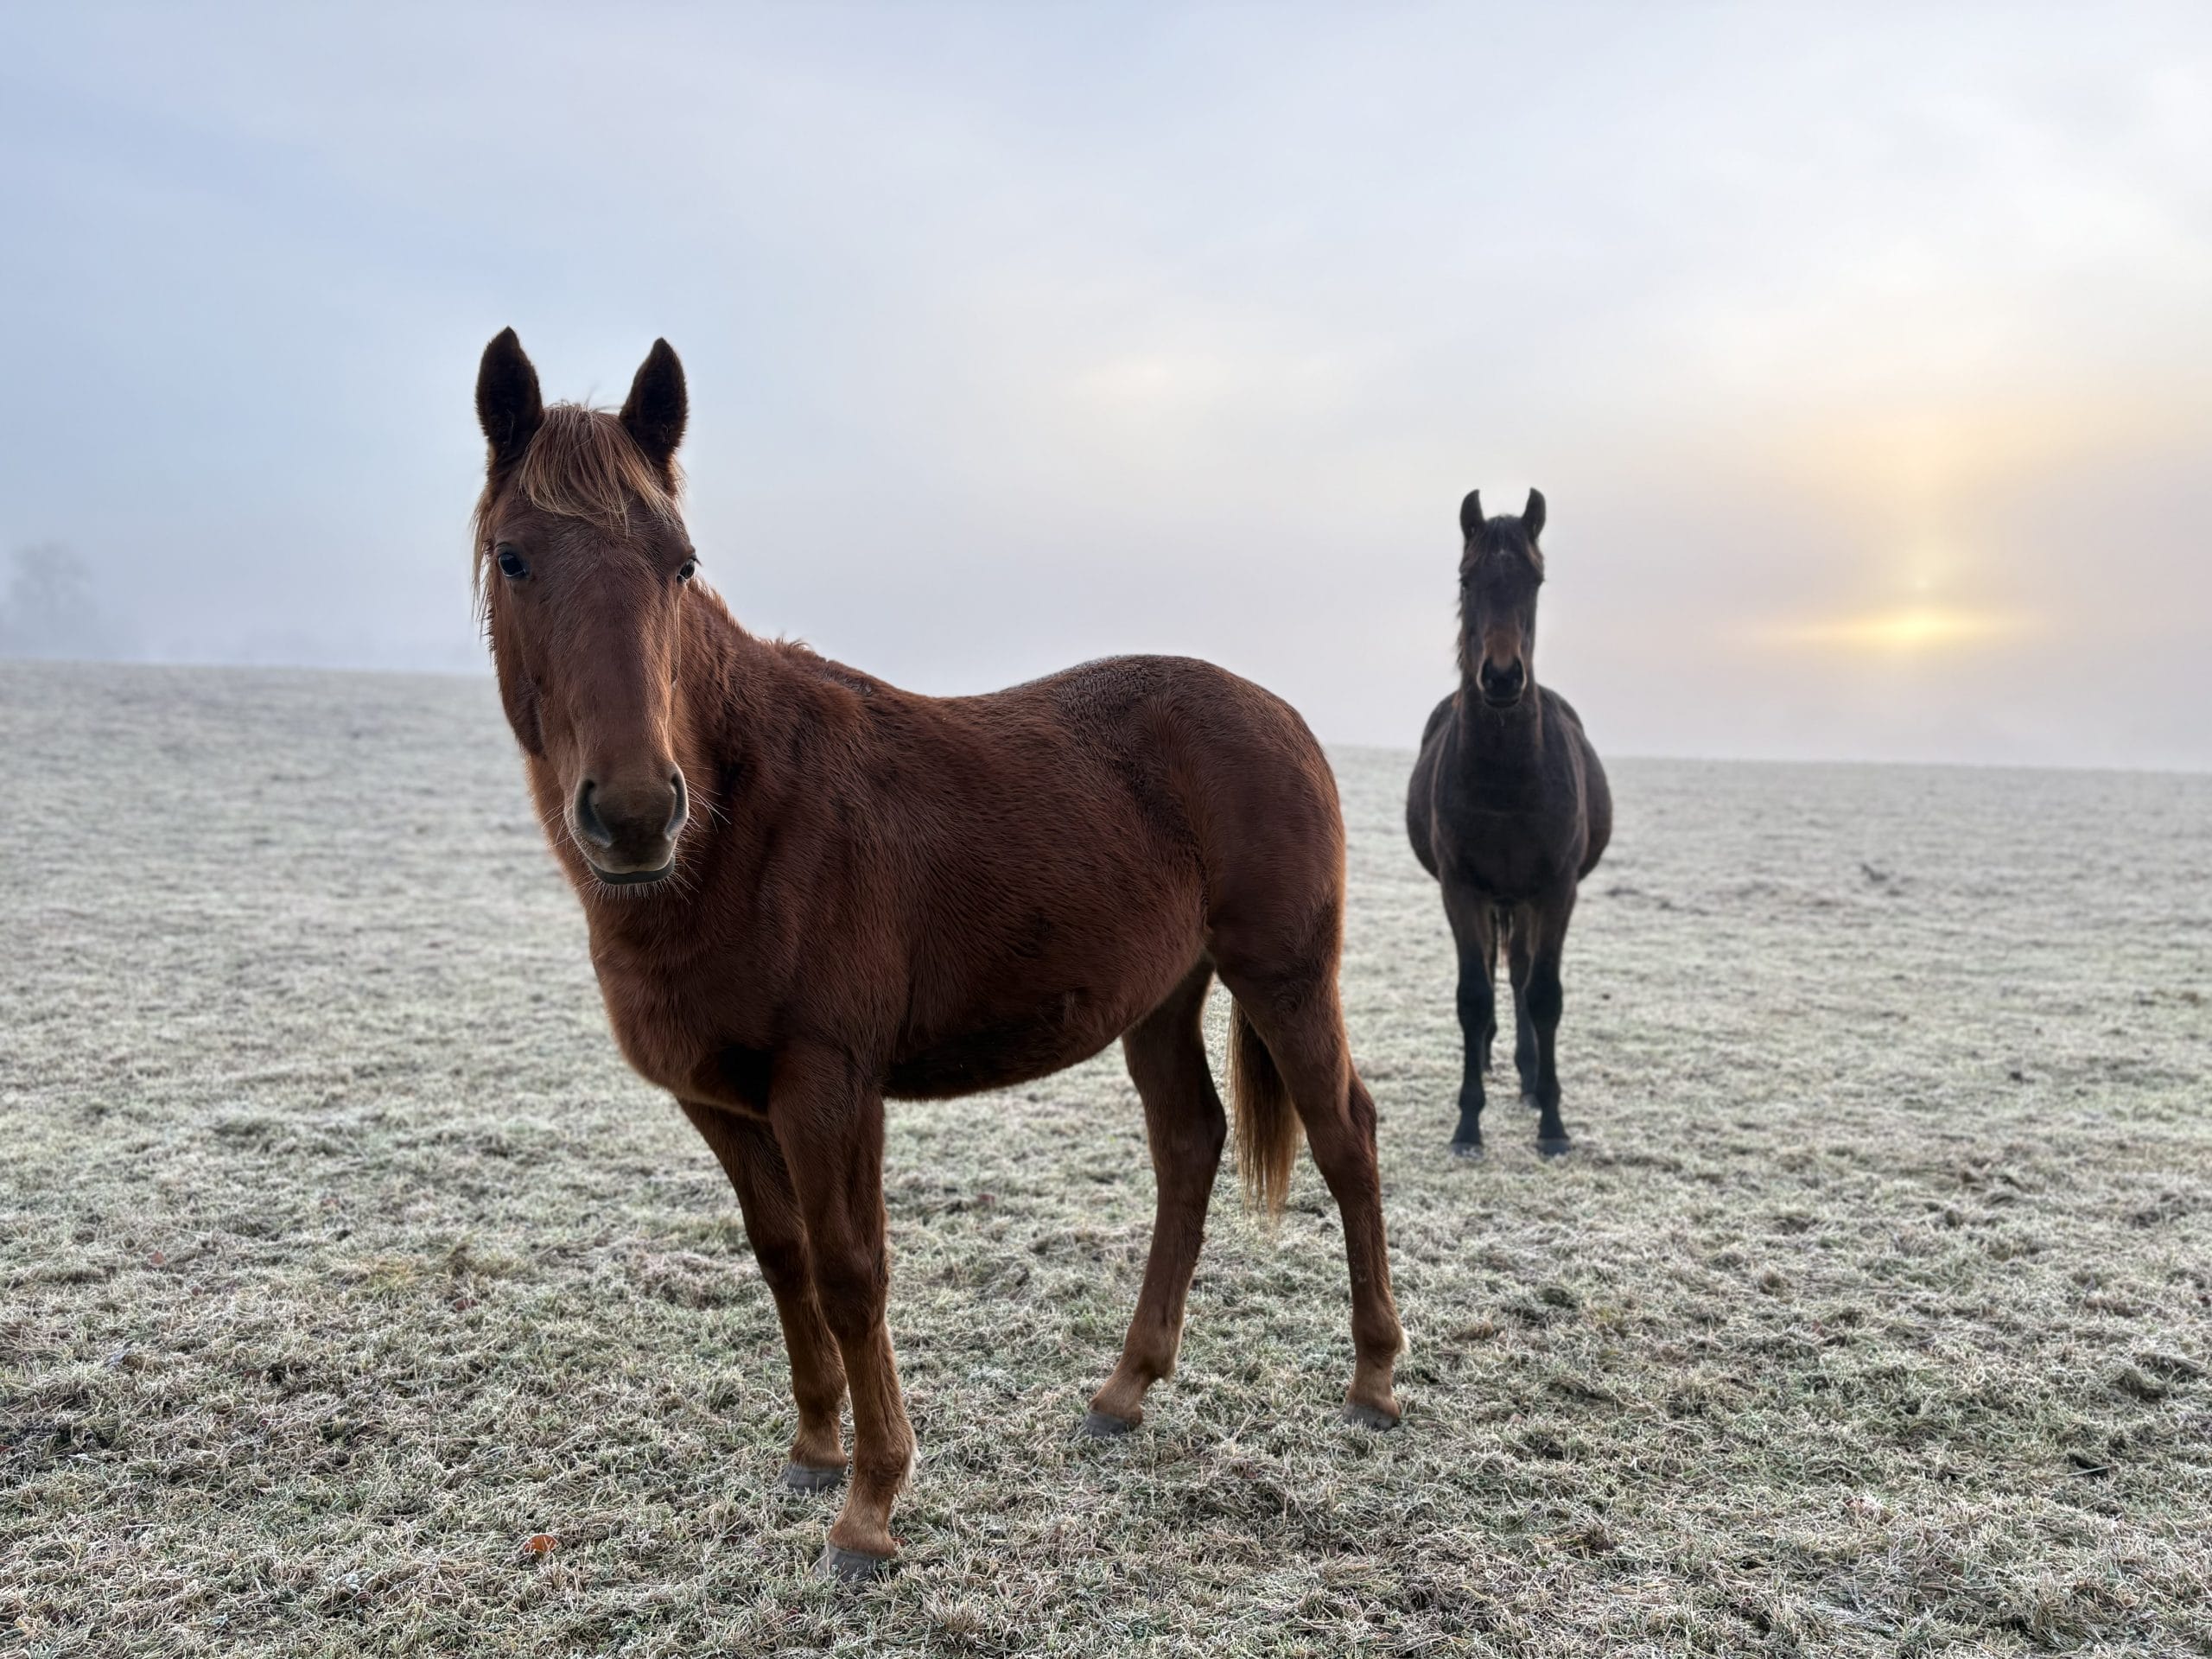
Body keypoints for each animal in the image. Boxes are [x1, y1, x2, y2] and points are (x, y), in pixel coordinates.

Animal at [470, 330, 1403, 1579]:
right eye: (515, 557)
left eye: (679, 563)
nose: (633, 815)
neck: (745, 819)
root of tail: (1285, 717)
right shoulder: (718, 1102)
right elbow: (781, 1255)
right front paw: (814, 1447)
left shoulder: (829, 1088)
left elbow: (851, 1271)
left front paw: (870, 1504)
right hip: (1160, 1000)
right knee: (1189, 1147)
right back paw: (1125, 1389)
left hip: (1285, 978)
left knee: (1345, 1137)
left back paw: (1374, 1379)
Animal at [1405, 489, 1611, 1160]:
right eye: (1467, 579)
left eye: (1535, 580)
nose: (1499, 678)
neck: (1505, 779)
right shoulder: (1461, 888)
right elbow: (1472, 997)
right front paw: (1468, 1124)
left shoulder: (1556, 889)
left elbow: (1544, 995)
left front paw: (1553, 1123)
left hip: (1524, 899)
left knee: (1520, 975)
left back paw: (1526, 1074)